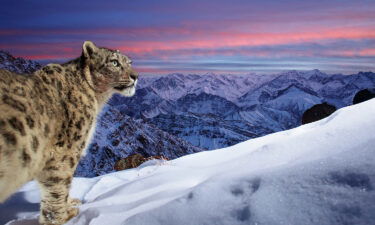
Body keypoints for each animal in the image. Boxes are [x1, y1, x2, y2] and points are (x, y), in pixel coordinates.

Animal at [0, 41, 138, 224]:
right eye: (114, 62)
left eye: (129, 62)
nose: (135, 76)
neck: (97, 99)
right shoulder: (65, 151)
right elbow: (59, 185)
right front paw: (62, 217)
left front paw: (70, 203)